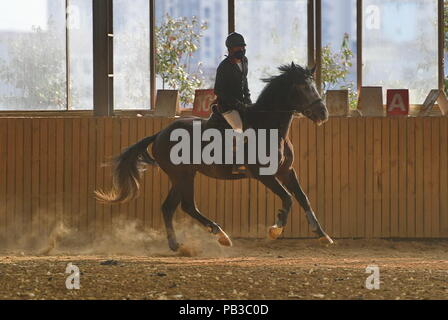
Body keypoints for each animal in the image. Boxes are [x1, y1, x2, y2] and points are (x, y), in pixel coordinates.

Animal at [96, 62, 334, 251]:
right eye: (302, 87)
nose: (323, 113)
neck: (269, 127)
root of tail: (160, 134)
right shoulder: (263, 175)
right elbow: (288, 198)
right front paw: (275, 230)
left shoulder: (286, 171)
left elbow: (302, 198)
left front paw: (322, 235)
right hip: (183, 176)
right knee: (187, 206)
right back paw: (221, 236)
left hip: (182, 176)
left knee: (169, 207)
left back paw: (177, 245)